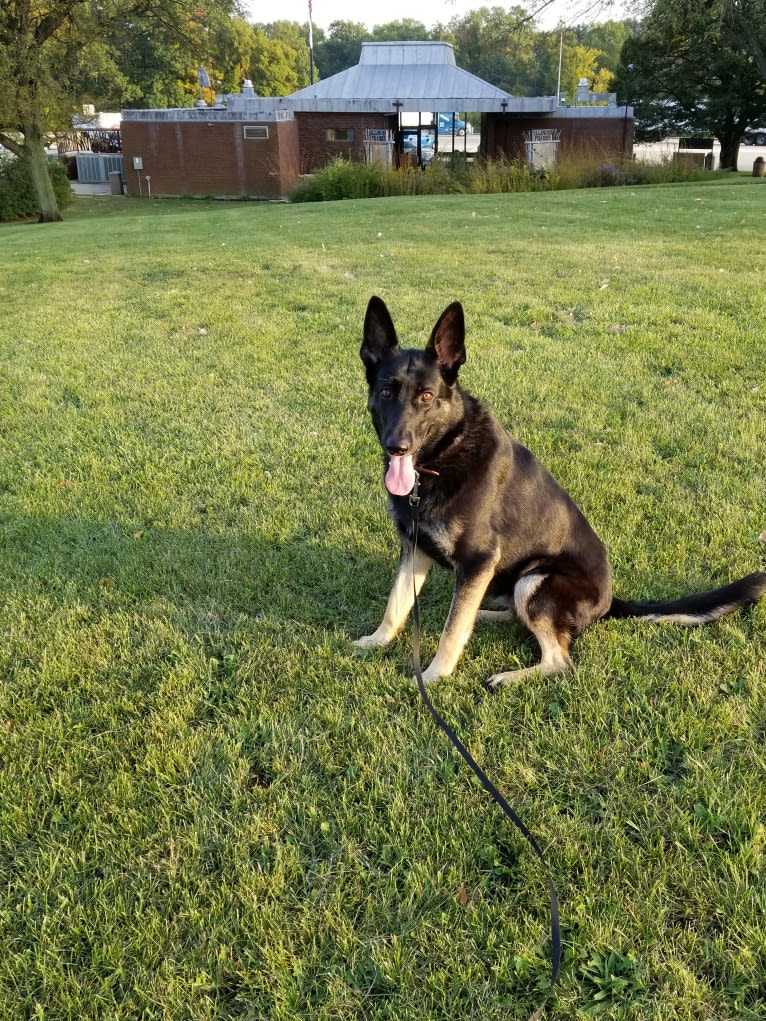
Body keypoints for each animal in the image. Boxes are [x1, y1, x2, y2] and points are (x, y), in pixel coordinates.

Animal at [357, 298, 766, 690]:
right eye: (386, 391)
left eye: (426, 396)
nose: (396, 446)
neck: (442, 456)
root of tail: (608, 603)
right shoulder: (415, 549)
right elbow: (396, 604)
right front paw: (377, 641)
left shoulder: (477, 560)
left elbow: (451, 629)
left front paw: (433, 676)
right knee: (508, 613)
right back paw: (487, 615)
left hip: (535, 578)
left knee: (559, 660)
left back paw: (507, 676)